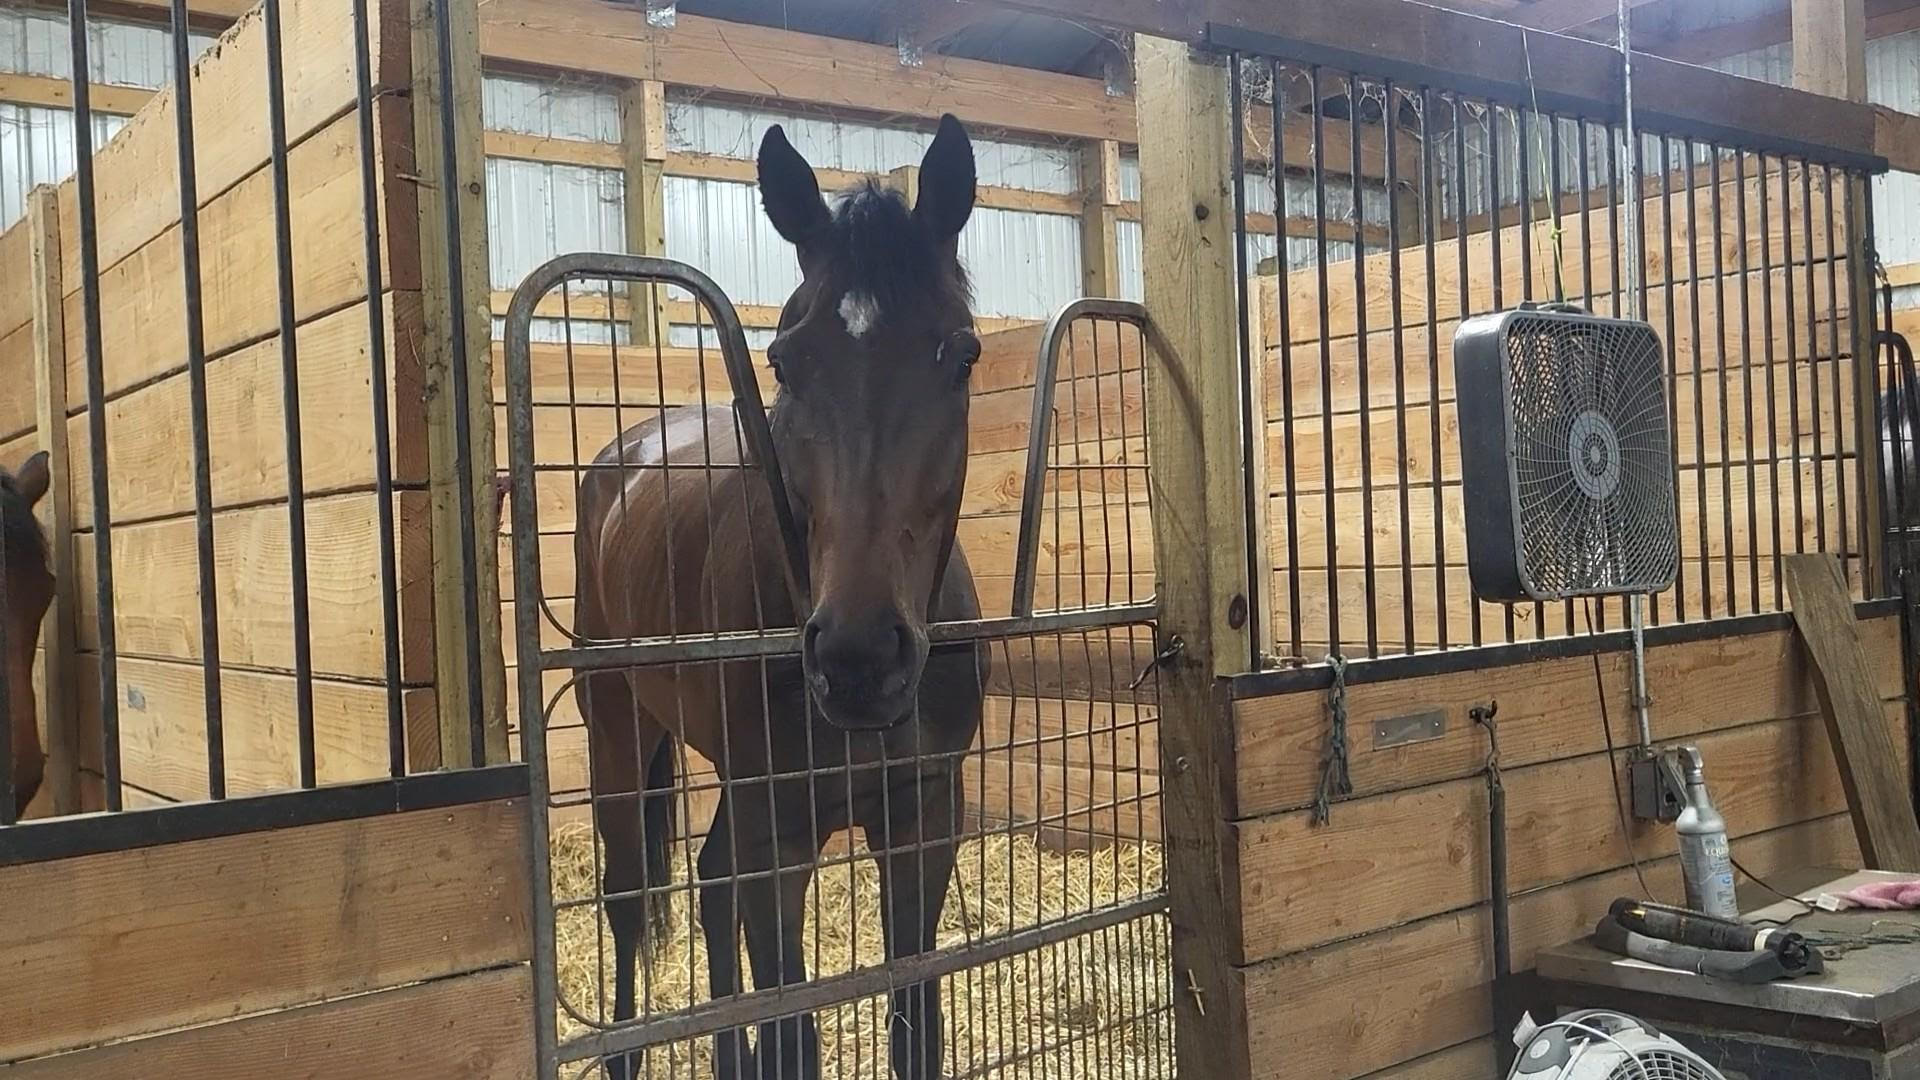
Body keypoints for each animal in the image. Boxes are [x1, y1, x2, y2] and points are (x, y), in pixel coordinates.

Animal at [571, 114, 988, 1080]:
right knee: (629, 898)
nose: (860, 658)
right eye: (786, 362)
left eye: (962, 355)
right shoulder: (781, 840)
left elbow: (914, 1027)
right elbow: (792, 1030)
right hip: (617, 730)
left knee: (709, 882)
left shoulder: (924, 823)